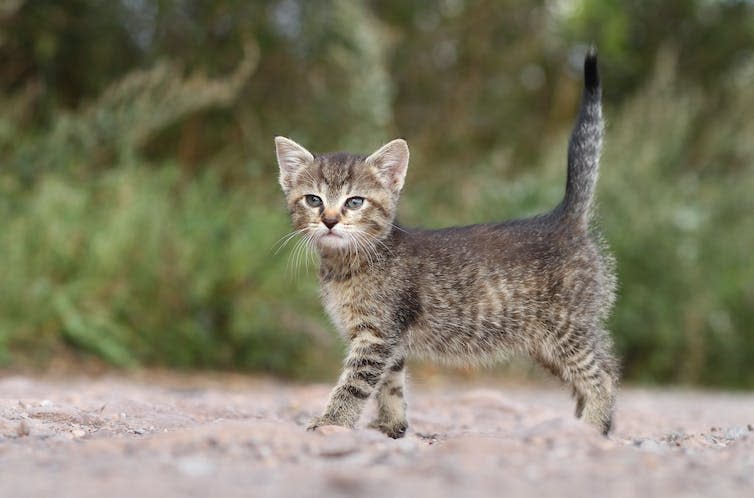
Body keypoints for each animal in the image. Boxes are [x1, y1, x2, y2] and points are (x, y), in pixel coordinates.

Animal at [276, 50, 616, 438]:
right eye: (313, 200)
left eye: (355, 202)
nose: (330, 220)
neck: (346, 263)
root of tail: (565, 217)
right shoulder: (390, 340)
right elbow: (391, 384)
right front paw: (390, 426)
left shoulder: (377, 335)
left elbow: (355, 383)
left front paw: (332, 422)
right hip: (546, 344)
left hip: (567, 328)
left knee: (604, 374)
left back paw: (591, 428)